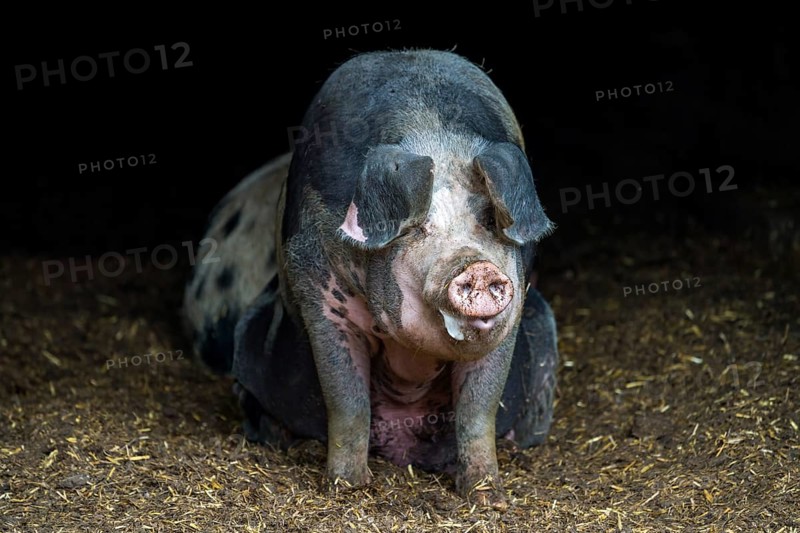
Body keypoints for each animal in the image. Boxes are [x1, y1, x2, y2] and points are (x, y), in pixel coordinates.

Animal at [182, 49, 559, 510]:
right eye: (417, 228)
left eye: (489, 220)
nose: (477, 267)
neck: (433, 133)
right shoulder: (320, 298)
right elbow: (347, 399)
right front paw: (347, 487)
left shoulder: (517, 308)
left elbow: (478, 407)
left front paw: (488, 495)